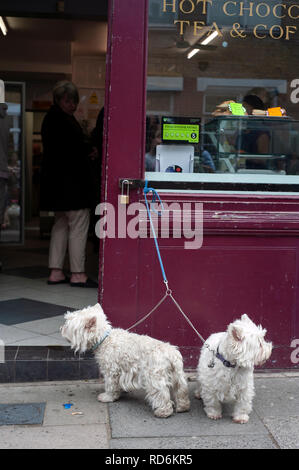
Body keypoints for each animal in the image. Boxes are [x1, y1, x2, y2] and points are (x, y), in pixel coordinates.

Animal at [61, 304, 191, 418]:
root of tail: (172, 354)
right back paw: (183, 407)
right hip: (177, 376)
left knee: (161, 394)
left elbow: (111, 386)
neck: (103, 339)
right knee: (181, 391)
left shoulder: (111, 371)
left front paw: (107, 397)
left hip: (155, 378)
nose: (61, 328)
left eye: (67, 324)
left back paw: (163, 412)